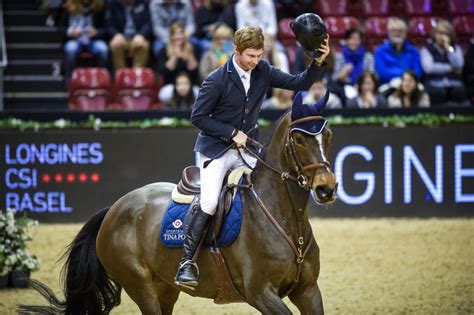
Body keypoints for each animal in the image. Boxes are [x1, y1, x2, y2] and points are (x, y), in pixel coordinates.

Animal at [19, 92, 336, 314]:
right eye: (298, 139)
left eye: (328, 135)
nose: (327, 188)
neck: (285, 218)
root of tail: (115, 208)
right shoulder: (261, 294)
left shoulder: (308, 291)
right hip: (140, 284)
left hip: (165, 287)